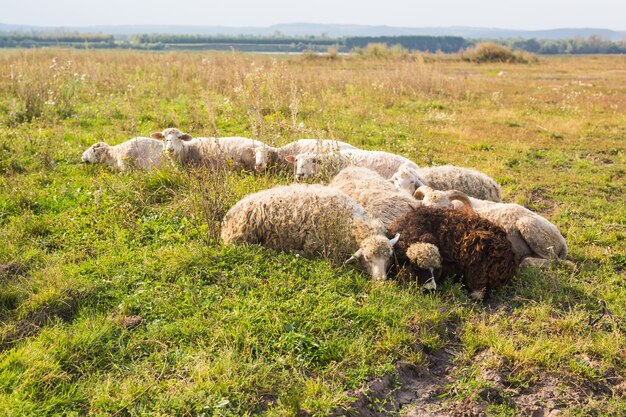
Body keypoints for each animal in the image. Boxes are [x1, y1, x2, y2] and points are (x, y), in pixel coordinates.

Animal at [412, 184, 568, 268]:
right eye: (423, 205)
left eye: (445, 209)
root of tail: (562, 240)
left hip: (532, 230)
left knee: (553, 260)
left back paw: (524, 261)